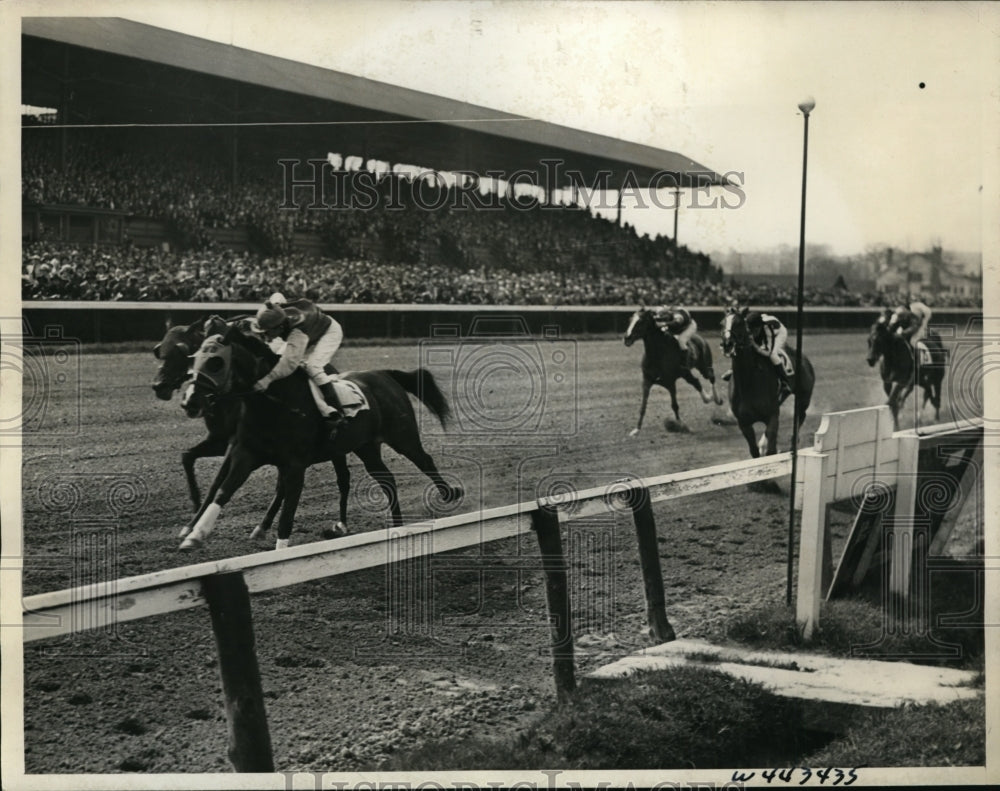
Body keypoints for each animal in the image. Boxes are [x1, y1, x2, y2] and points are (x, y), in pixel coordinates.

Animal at [148, 316, 352, 540]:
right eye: (160, 351)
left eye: (182, 352)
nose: (159, 386)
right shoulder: (221, 439)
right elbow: (188, 457)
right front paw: (193, 516)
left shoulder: (230, 443)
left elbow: (216, 483)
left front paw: (193, 524)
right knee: (282, 484)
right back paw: (263, 526)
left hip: (333, 449)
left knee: (341, 478)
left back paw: (340, 524)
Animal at [179, 328, 460, 552]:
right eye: (194, 360)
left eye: (215, 362)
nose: (189, 401)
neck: (274, 402)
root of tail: (384, 374)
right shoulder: (246, 452)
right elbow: (223, 489)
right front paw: (195, 534)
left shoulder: (294, 465)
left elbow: (288, 512)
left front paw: (281, 552)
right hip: (366, 447)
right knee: (386, 478)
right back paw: (398, 525)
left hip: (402, 435)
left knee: (424, 460)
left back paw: (449, 494)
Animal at [620, 306, 724, 436]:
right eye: (630, 320)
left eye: (641, 322)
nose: (627, 338)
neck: (658, 354)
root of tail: (701, 338)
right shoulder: (648, 381)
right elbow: (643, 406)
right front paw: (636, 430)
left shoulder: (672, 380)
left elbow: (676, 404)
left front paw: (681, 426)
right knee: (701, 381)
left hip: (703, 367)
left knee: (709, 378)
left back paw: (716, 398)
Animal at [724, 308, 816, 458]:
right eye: (721, 323)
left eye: (739, 323)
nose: (727, 344)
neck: (748, 383)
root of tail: (803, 358)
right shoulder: (743, 423)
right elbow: (754, 452)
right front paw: (761, 446)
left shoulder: (772, 416)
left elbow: (771, 451)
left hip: (803, 397)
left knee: (800, 415)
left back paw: (793, 444)